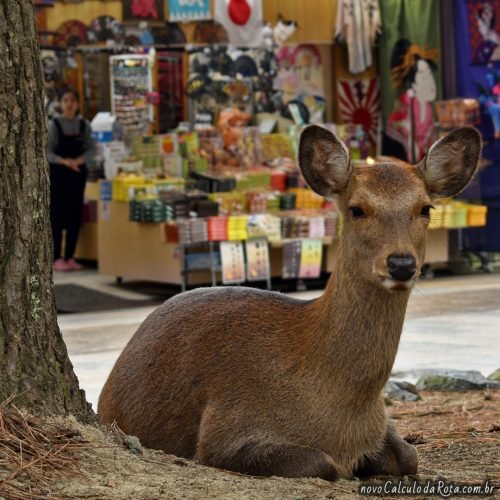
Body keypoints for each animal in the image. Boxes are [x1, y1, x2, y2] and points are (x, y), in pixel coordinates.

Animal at [96, 125, 480, 480]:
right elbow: (324, 464)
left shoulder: (382, 425)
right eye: (357, 209)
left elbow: (408, 455)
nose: (401, 263)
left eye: (425, 208)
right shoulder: (225, 431)